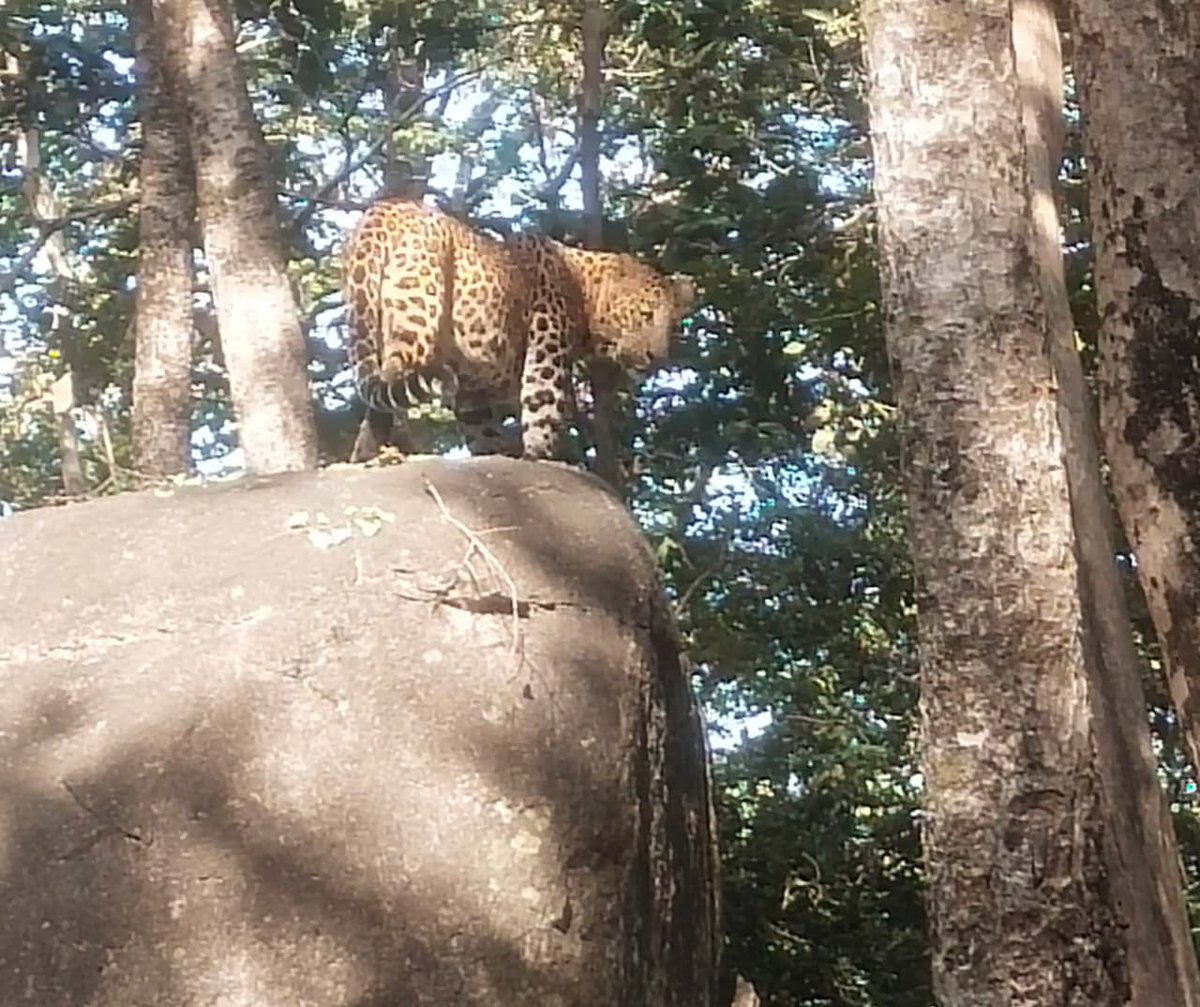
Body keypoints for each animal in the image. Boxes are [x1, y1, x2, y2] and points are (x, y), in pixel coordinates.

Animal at [341, 198, 697, 462]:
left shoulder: (471, 388)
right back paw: (373, 454)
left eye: (671, 327)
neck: (584, 293)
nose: (656, 356)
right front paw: (540, 455)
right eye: (645, 315)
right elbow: (543, 403)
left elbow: (481, 429)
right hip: (417, 313)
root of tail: (387, 207)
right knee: (390, 378)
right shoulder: (547, 348)